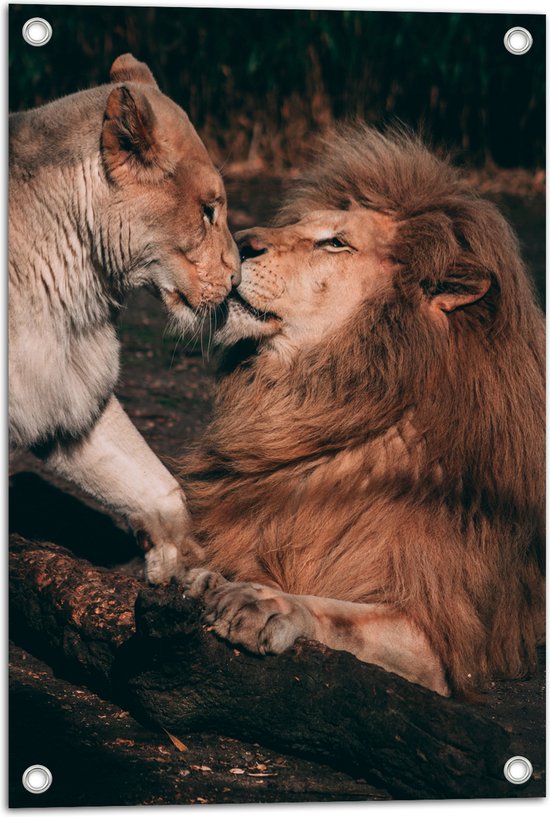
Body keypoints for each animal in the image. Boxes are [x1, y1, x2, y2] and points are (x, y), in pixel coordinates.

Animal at [181, 125, 545, 696]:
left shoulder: (441, 641)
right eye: (298, 224)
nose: (237, 242)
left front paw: (262, 602)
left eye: (336, 242)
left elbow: (340, 613)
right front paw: (207, 578)